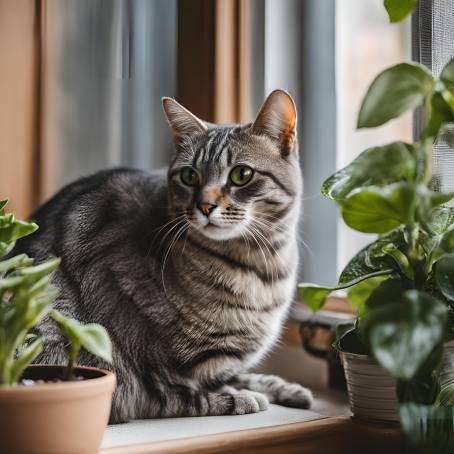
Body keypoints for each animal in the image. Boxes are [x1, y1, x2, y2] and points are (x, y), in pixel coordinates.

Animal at [14, 88, 312, 422]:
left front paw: (284, 388)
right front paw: (243, 398)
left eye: (241, 174)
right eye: (190, 176)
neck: (262, 265)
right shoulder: (150, 366)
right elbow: (192, 396)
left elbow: (239, 376)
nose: (205, 206)